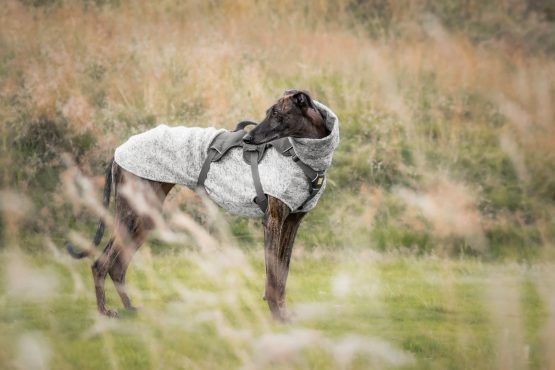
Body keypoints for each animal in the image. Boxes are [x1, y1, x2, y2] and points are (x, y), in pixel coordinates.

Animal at [68, 89, 340, 320]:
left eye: (276, 113)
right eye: (268, 112)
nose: (248, 138)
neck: (303, 158)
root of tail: (119, 150)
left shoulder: (292, 222)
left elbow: (282, 273)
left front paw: (283, 312)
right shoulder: (273, 220)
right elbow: (273, 276)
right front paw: (277, 315)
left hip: (145, 217)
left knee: (117, 266)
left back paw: (130, 308)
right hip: (132, 214)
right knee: (101, 263)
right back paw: (105, 312)